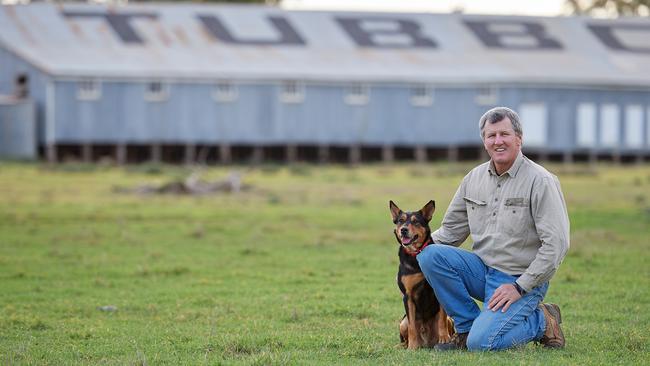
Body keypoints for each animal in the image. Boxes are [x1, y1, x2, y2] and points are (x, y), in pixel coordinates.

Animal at [388, 200, 454, 348]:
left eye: (416, 222)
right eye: (400, 221)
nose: (403, 229)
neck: (416, 254)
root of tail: (427, 342)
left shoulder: (439, 289)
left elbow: (441, 319)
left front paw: (444, 338)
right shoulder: (408, 296)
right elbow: (412, 326)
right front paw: (413, 346)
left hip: (450, 319)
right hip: (403, 322)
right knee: (406, 335)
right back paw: (405, 346)